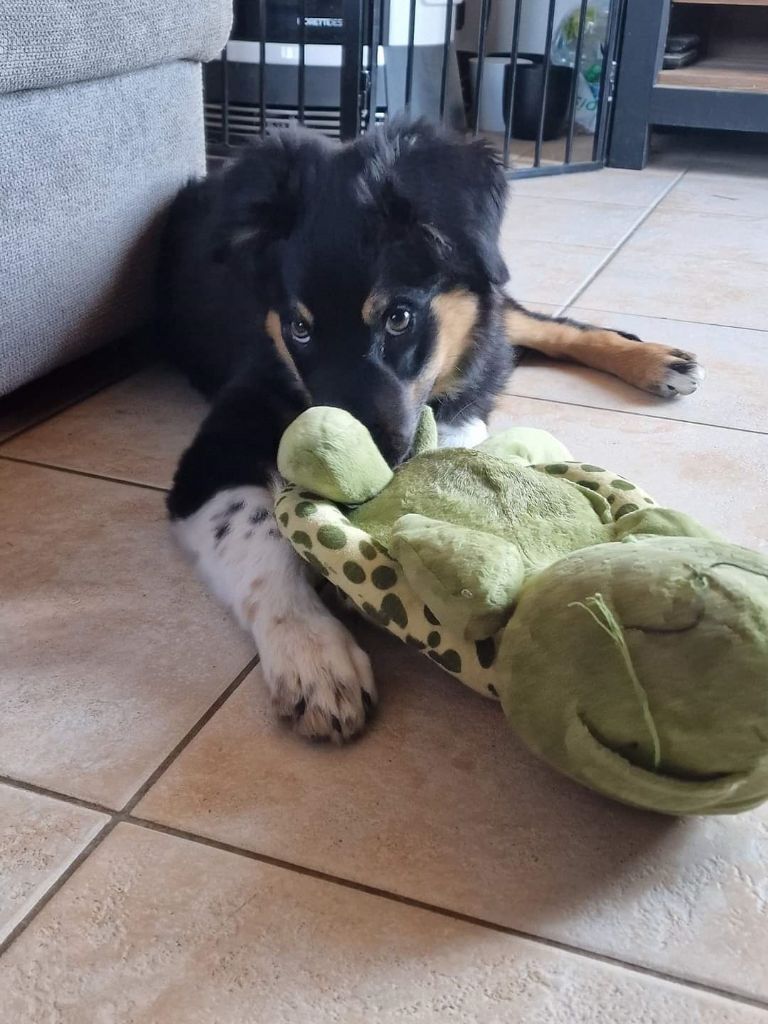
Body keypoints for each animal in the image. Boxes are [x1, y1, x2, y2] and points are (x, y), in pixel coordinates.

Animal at [158, 121, 702, 743]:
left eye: (399, 318)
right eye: (299, 329)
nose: (360, 480)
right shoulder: (215, 452)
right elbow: (256, 535)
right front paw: (310, 651)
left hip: (488, 281)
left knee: (545, 326)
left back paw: (657, 360)